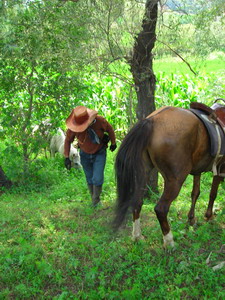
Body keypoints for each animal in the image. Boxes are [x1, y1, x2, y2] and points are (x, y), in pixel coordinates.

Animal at [114, 106, 225, 247]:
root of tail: (151, 120)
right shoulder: (220, 169)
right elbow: (213, 194)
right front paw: (209, 216)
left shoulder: (197, 171)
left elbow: (195, 193)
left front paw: (192, 219)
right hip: (176, 180)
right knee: (161, 209)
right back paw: (169, 241)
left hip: (143, 174)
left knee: (137, 202)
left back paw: (137, 236)